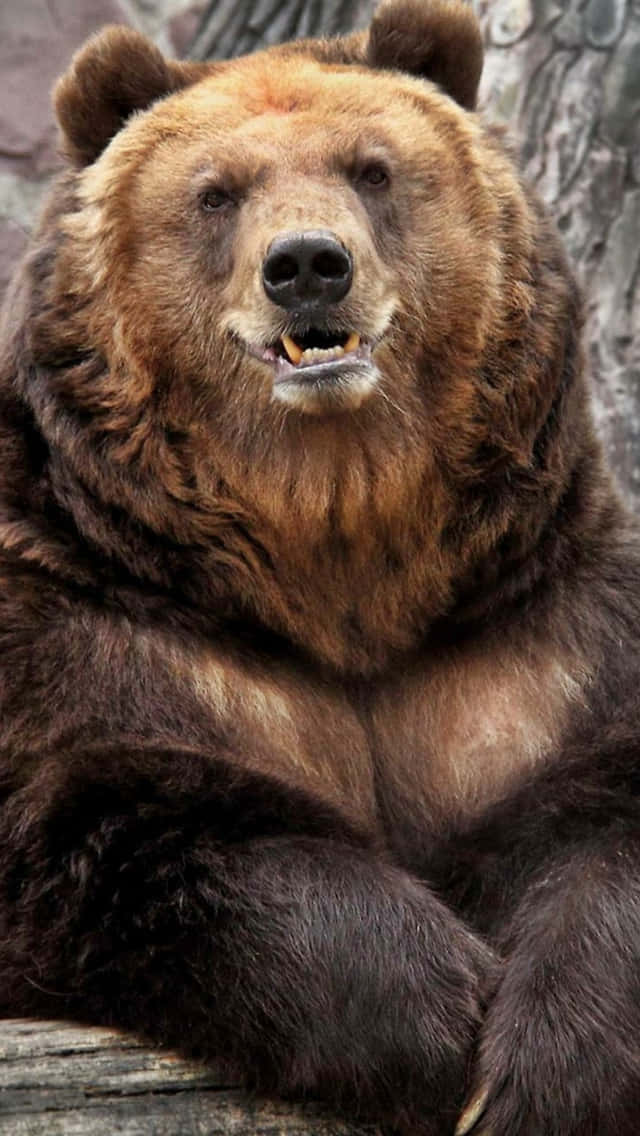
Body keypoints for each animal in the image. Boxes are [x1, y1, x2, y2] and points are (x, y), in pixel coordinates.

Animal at [1, 1, 639, 1133]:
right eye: (216, 192)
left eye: (372, 168)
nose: (306, 264)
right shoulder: (98, 618)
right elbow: (120, 816)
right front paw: (438, 1019)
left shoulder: (527, 634)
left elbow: (606, 807)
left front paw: (549, 1066)